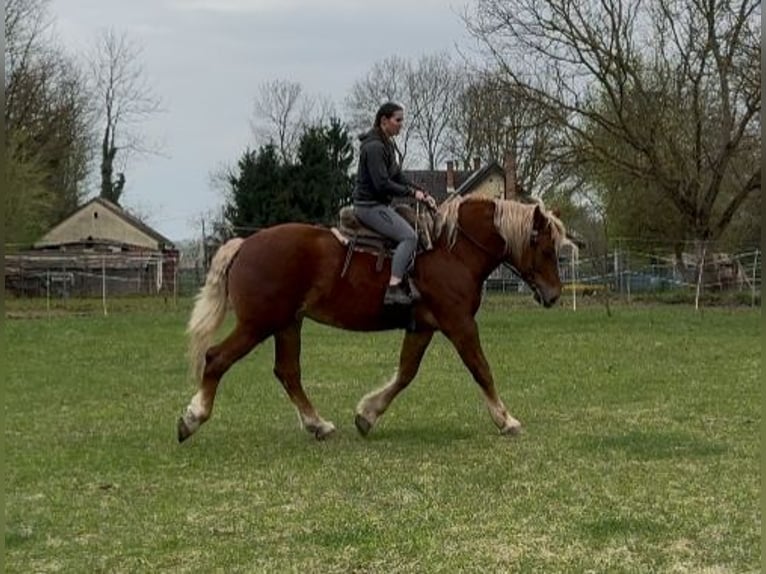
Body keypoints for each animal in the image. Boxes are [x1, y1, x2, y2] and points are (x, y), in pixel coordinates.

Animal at [177, 195, 572, 442]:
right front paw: (506, 419)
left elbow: (406, 373)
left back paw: (318, 424)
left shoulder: (423, 326)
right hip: (258, 324)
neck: (453, 250)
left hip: (287, 324)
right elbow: (481, 369)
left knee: (288, 373)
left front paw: (367, 415)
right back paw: (192, 418)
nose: (554, 294)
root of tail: (245, 244)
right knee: (216, 358)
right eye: (546, 248)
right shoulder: (459, 323)